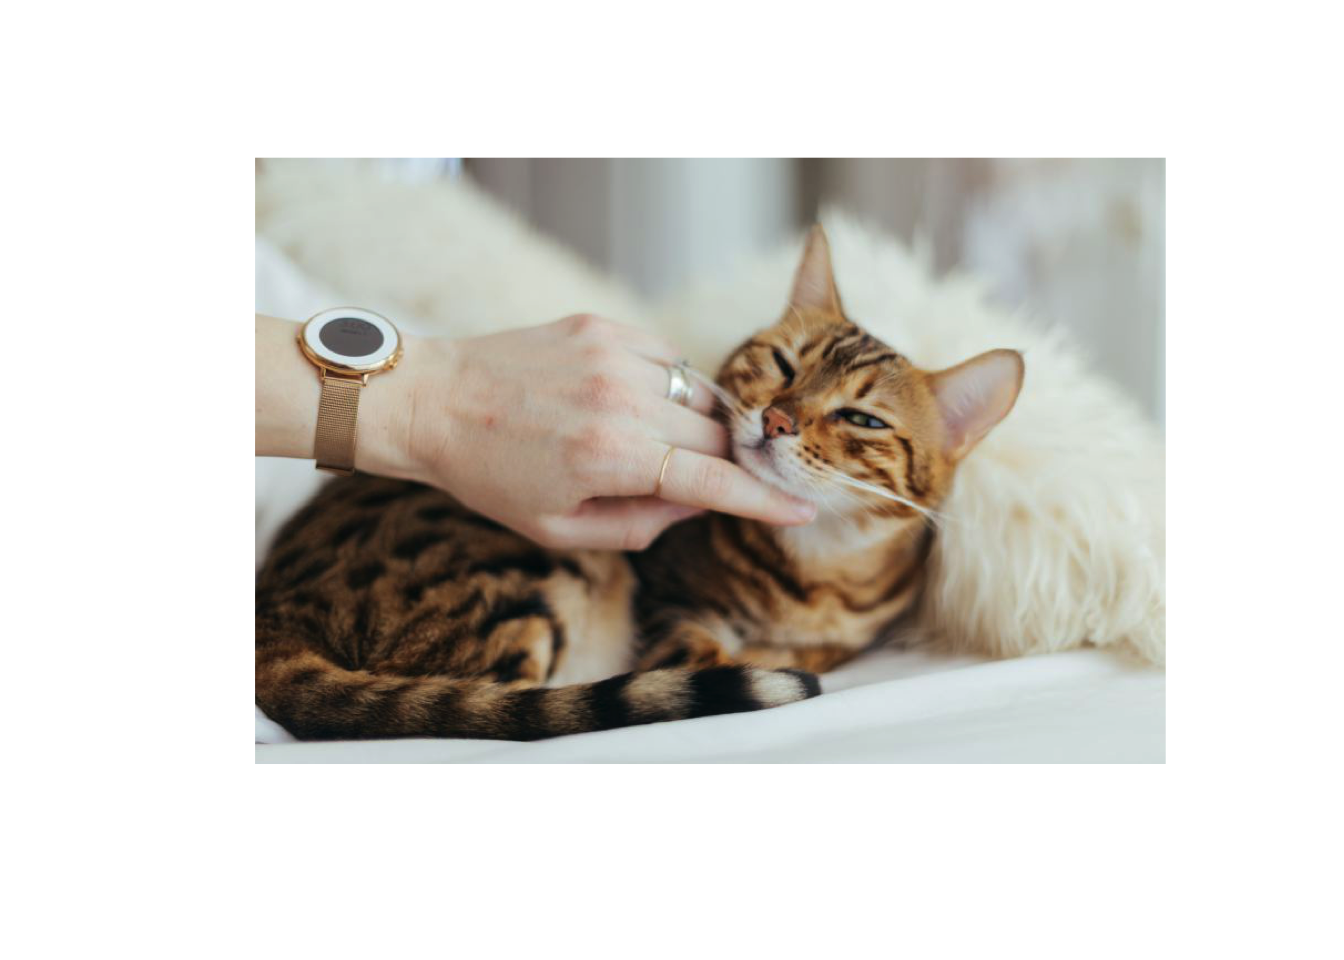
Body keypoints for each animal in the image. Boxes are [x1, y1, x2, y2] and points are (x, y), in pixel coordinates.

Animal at [255, 225, 1024, 741]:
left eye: (861, 417)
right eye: (782, 364)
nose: (776, 418)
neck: (815, 572)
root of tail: (271, 610)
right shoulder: (663, 598)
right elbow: (698, 650)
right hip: (530, 561)